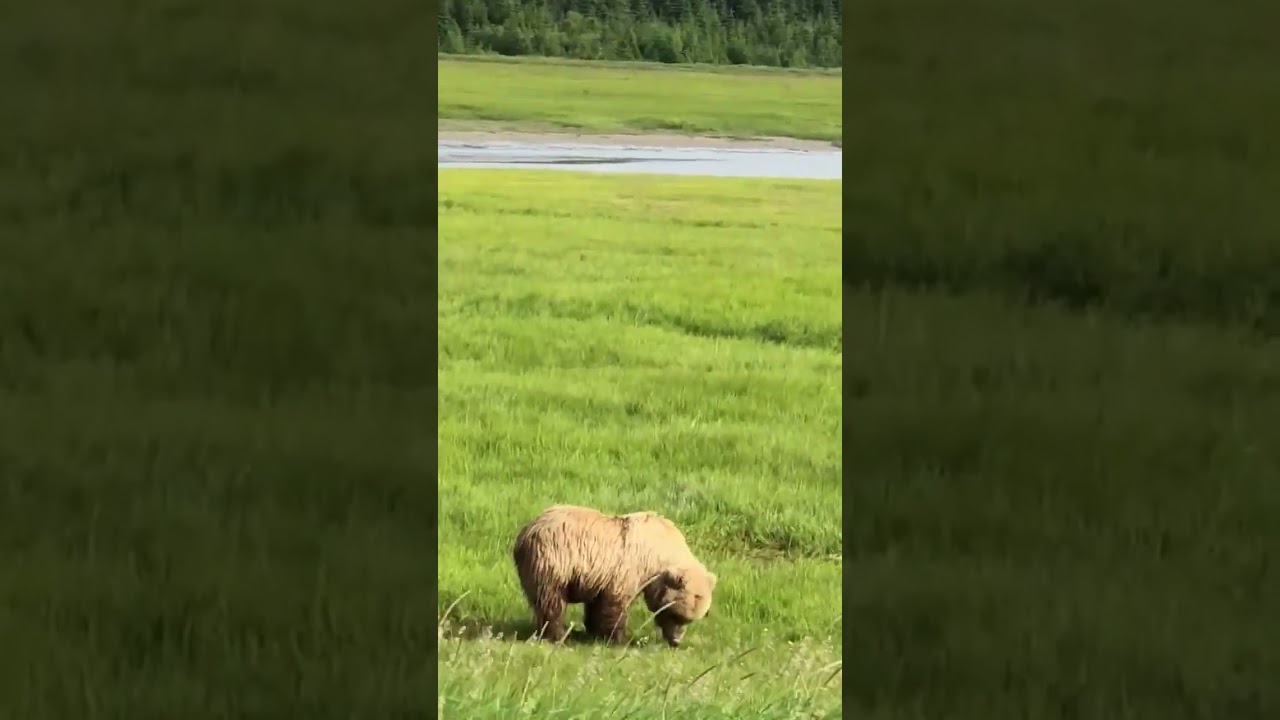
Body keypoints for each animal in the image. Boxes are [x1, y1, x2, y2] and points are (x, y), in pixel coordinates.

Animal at [511, 504, 717, 648]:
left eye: (690, 619)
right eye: (676, 615)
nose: (675, 642)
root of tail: (524, 533)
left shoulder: (599, 576)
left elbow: (596, 605)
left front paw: (593, 631)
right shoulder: (629, 569)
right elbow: (615, 605)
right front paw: (618, 638)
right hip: (553, 561)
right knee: (551, 602)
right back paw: (558, 635)